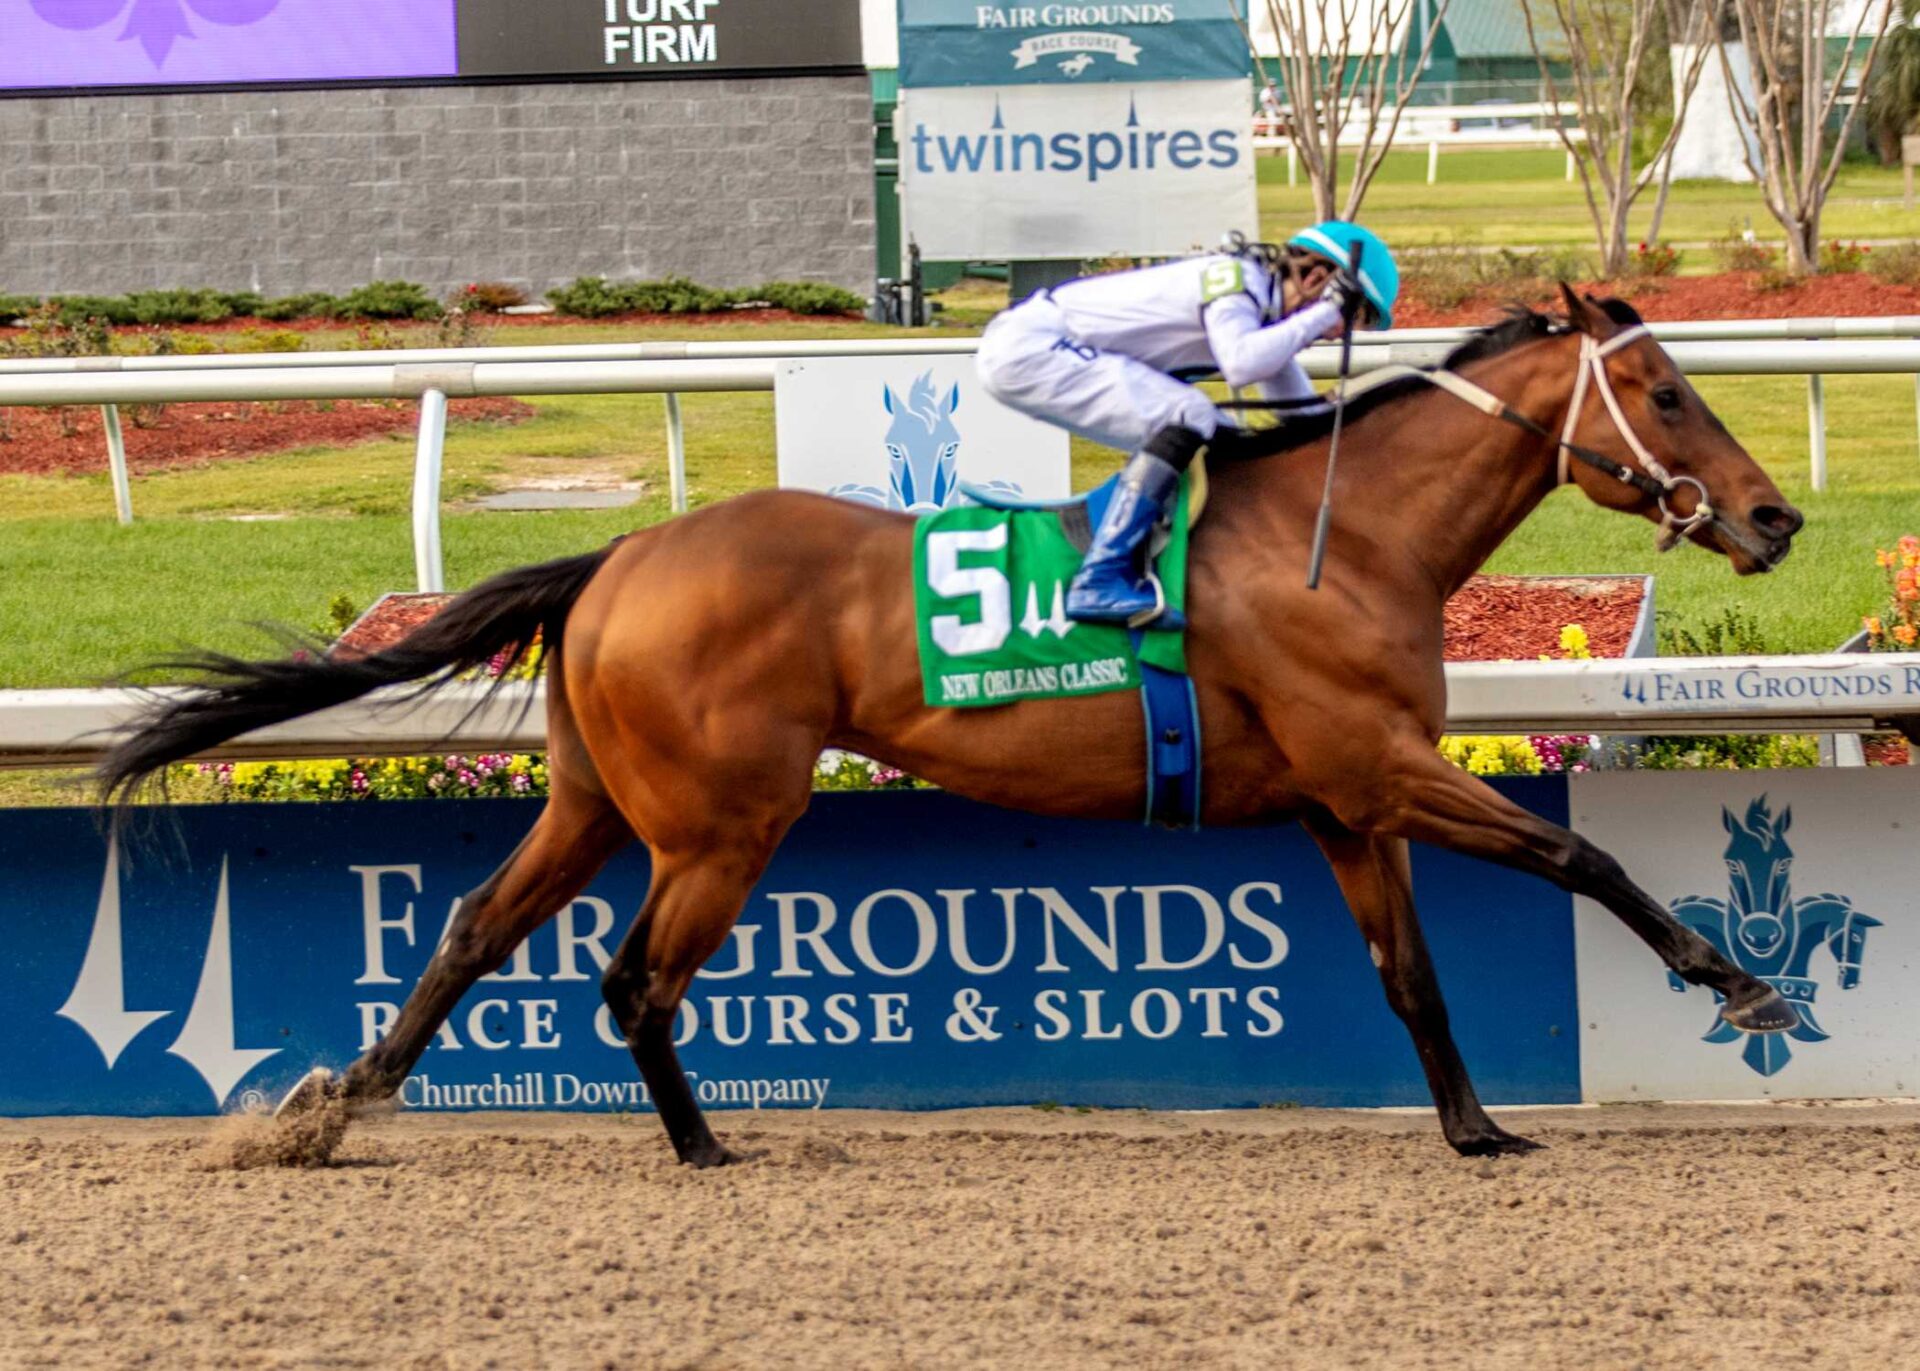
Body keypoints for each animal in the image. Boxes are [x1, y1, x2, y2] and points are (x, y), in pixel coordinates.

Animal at [99, 288, 1807, 1163]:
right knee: (634, 976)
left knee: (473, 926)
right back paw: (702, 1146)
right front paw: (1743, 981)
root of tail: (623, 555)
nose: (1778, 518)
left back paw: (333, 1106)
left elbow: (1413, 974)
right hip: (722, 819)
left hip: (594, 798)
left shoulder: (1346, 801)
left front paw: (1475, 1127)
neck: (1354, 539)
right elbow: (1580, 863)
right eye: (1665, 389)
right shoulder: (1380, 764)